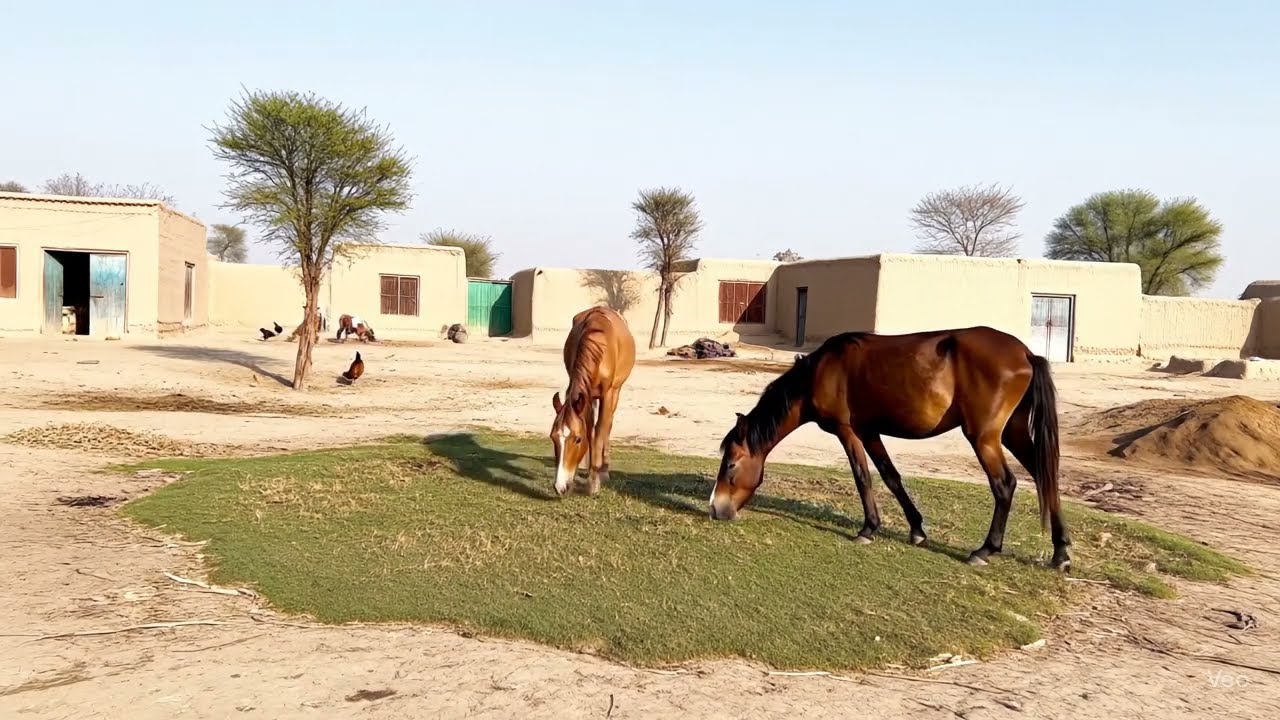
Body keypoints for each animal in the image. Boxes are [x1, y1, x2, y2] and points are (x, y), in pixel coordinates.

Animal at [550, 306, 637, 496]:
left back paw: (604, 469)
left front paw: (594, 482)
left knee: (607, 426)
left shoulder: (608, 394)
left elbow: (600, 431)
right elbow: (589, 429)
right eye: (553, 437)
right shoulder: (584, 395)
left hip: (616, 392)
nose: (560, 487)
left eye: (577, 439)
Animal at [710, 325, 1071, 571]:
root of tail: (1026, 354)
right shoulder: (870, 433)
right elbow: (891, 478)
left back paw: (985, 550)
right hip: (1012, 434)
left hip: (984, 438)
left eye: (731, 465)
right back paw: (1061, 552)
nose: (715, 508)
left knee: (1004, 485)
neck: (821, 372)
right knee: (1046, 477)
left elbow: (862, 477)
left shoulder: (848, 432)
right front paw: (916, 530)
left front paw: (868, 529)